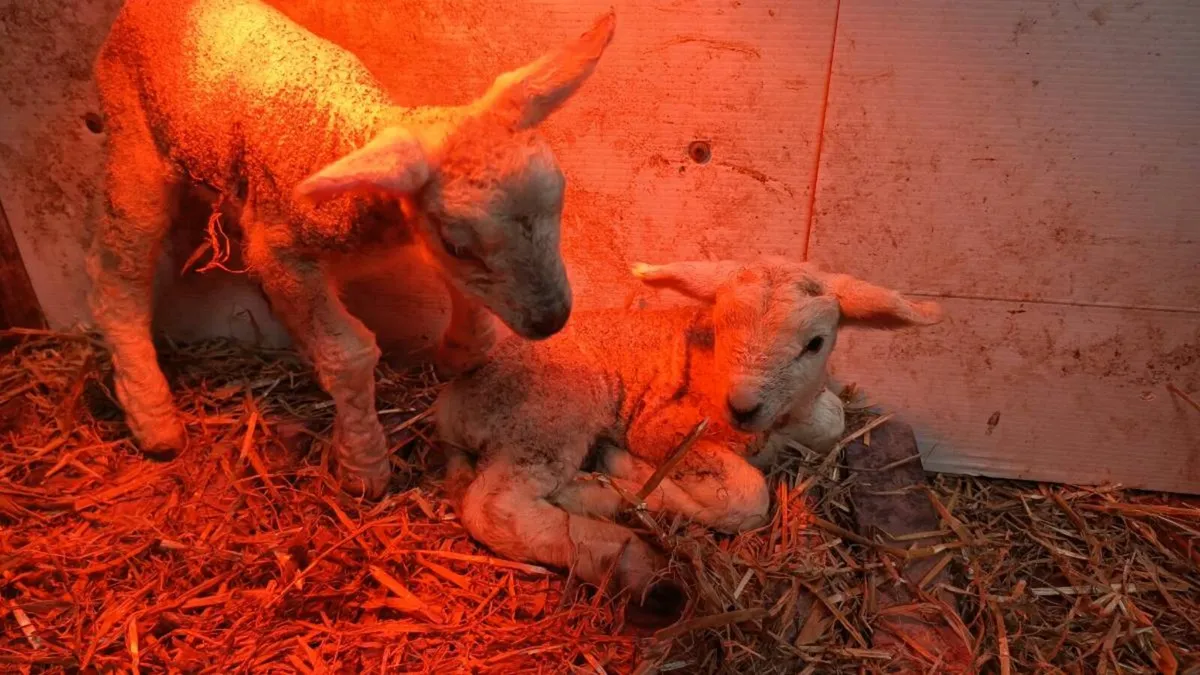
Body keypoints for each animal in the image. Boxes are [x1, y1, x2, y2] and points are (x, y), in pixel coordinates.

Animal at [89, 0, 616, 498]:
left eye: (560, 200)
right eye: (456, 243)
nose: (552, 320)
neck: (340, 137)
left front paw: (457, 355)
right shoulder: (278, 248)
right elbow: (349, 353)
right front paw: (364, 468)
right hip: (132, 138)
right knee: (115, 272)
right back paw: (153, 418)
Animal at [435, 258, 943, 617]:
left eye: (814, 344)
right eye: (718, 327)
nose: (743, 406)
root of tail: (453, 401)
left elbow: (834, 419)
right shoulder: (660, 426)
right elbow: (749, 497)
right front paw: (621, 479)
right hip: (552, 414)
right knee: (495, 506)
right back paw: (631, 558)